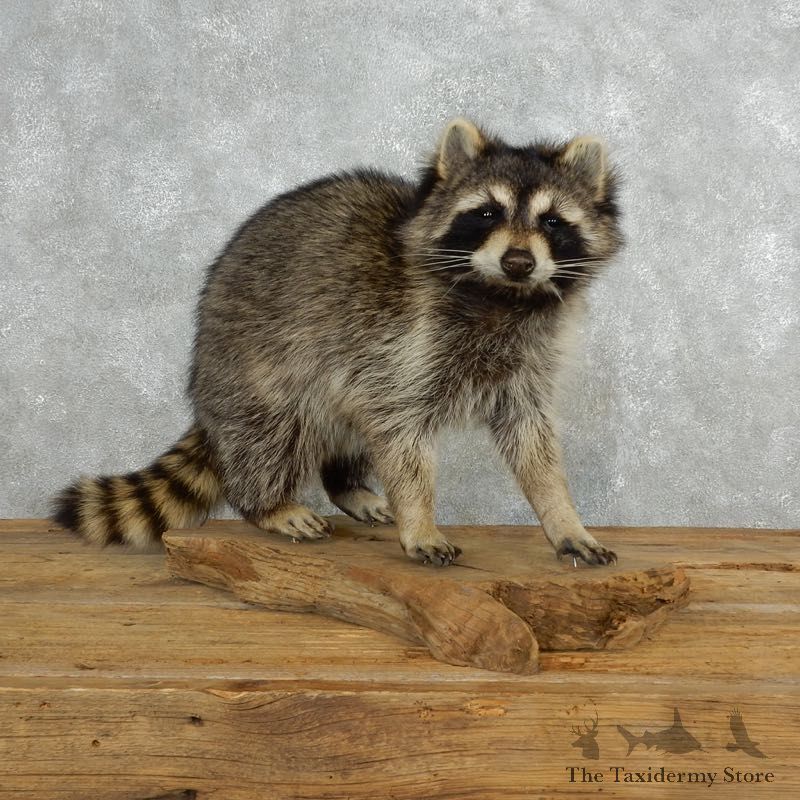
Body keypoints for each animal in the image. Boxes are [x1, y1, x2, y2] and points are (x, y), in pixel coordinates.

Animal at [53, 118, 623, 566]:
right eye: (486, 213)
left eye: (552, 221)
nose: (519, 261)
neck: (501, 297)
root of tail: (204, 369)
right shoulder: (399, 343)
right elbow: (400, 436)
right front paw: (420, 518)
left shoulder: (526, 363)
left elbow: (534, 444)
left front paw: (563, 517)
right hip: (258, 362)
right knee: (274, 430)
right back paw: (266, 504)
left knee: (347, 429)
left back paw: (345, 484)